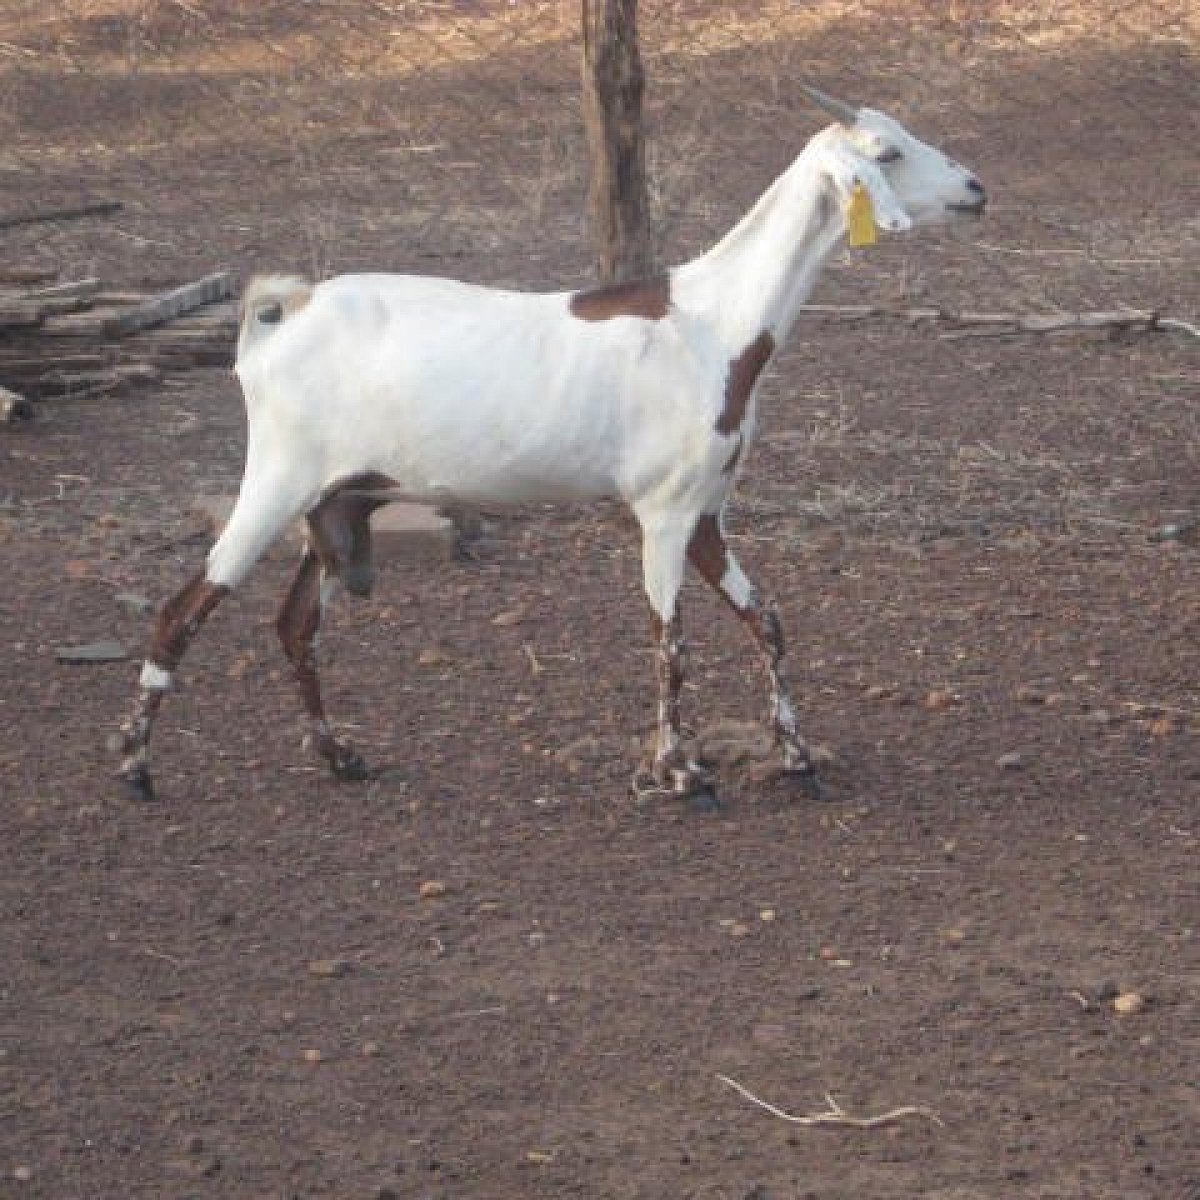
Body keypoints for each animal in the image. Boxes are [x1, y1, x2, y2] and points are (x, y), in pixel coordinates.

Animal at [115, 88, 986, 804]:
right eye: (887, 153)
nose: (976, 189)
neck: (716, 323)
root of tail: (279, 316)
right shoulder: (662, 510)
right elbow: (670, 642)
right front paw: (680, 773)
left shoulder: (708, 510)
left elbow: (765, 620)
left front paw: (797, 756)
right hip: (277, 481)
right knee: (180, 610)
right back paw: (135, 768)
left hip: (337, 502)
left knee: (296, 624)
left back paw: (340, 758)